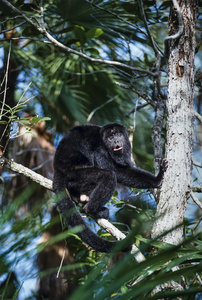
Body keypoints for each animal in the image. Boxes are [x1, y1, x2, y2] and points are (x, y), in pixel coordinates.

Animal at [52, 123, 166, 252]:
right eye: (110, 138)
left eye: (119, 135)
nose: (116, 140)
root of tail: (58, 171)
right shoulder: (100, 149)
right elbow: (114, 170)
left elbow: (121, 171)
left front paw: (158, 180)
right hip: (75, 176)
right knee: (108, 176)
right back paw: (92, 209)